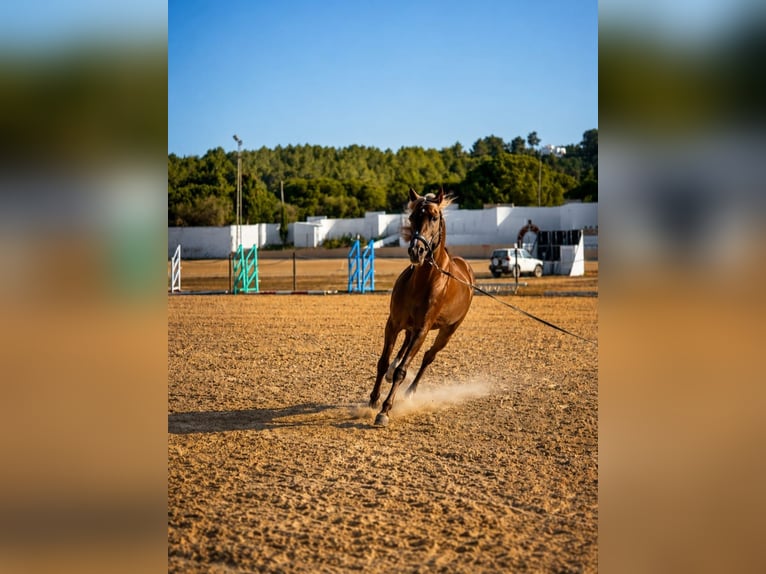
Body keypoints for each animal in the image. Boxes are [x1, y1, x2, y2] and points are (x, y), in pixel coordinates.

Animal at [369, 188, 475, 426]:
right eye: (411, 217)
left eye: (434, 218)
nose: (416, 251)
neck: (424, 281)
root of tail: (466, 268)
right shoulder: (393, 323)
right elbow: (383, 361)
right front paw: (373, 399)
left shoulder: (422, 330)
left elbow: (402, 371)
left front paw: (385, 410)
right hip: (409, 327)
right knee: (404, 348)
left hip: (447, 331)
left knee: (428, 356)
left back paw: (411, 391)